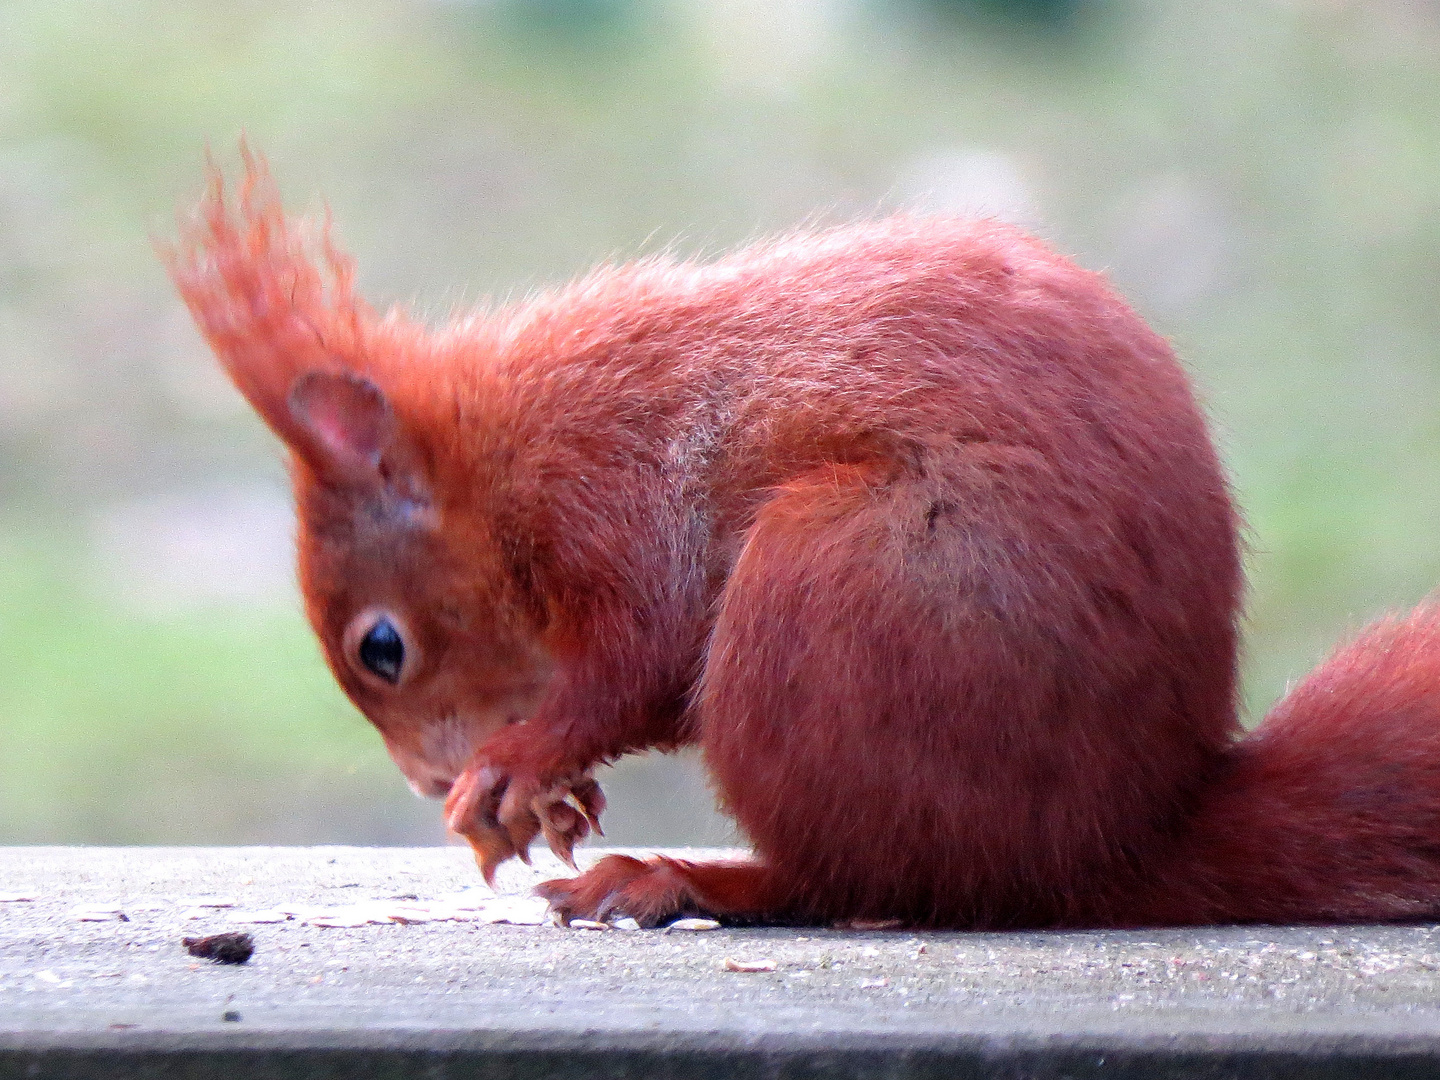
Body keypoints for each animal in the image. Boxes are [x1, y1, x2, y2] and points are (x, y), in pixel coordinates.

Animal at [168, 150, 1440, 933]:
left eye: (380, 647)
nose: (428, 776)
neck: (498, 458)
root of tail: (1107, 845)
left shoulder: (612, 496)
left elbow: (640, 659)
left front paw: (519, 769)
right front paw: (554, 798)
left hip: (829, 593)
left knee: (850, 878)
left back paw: (676, 877)